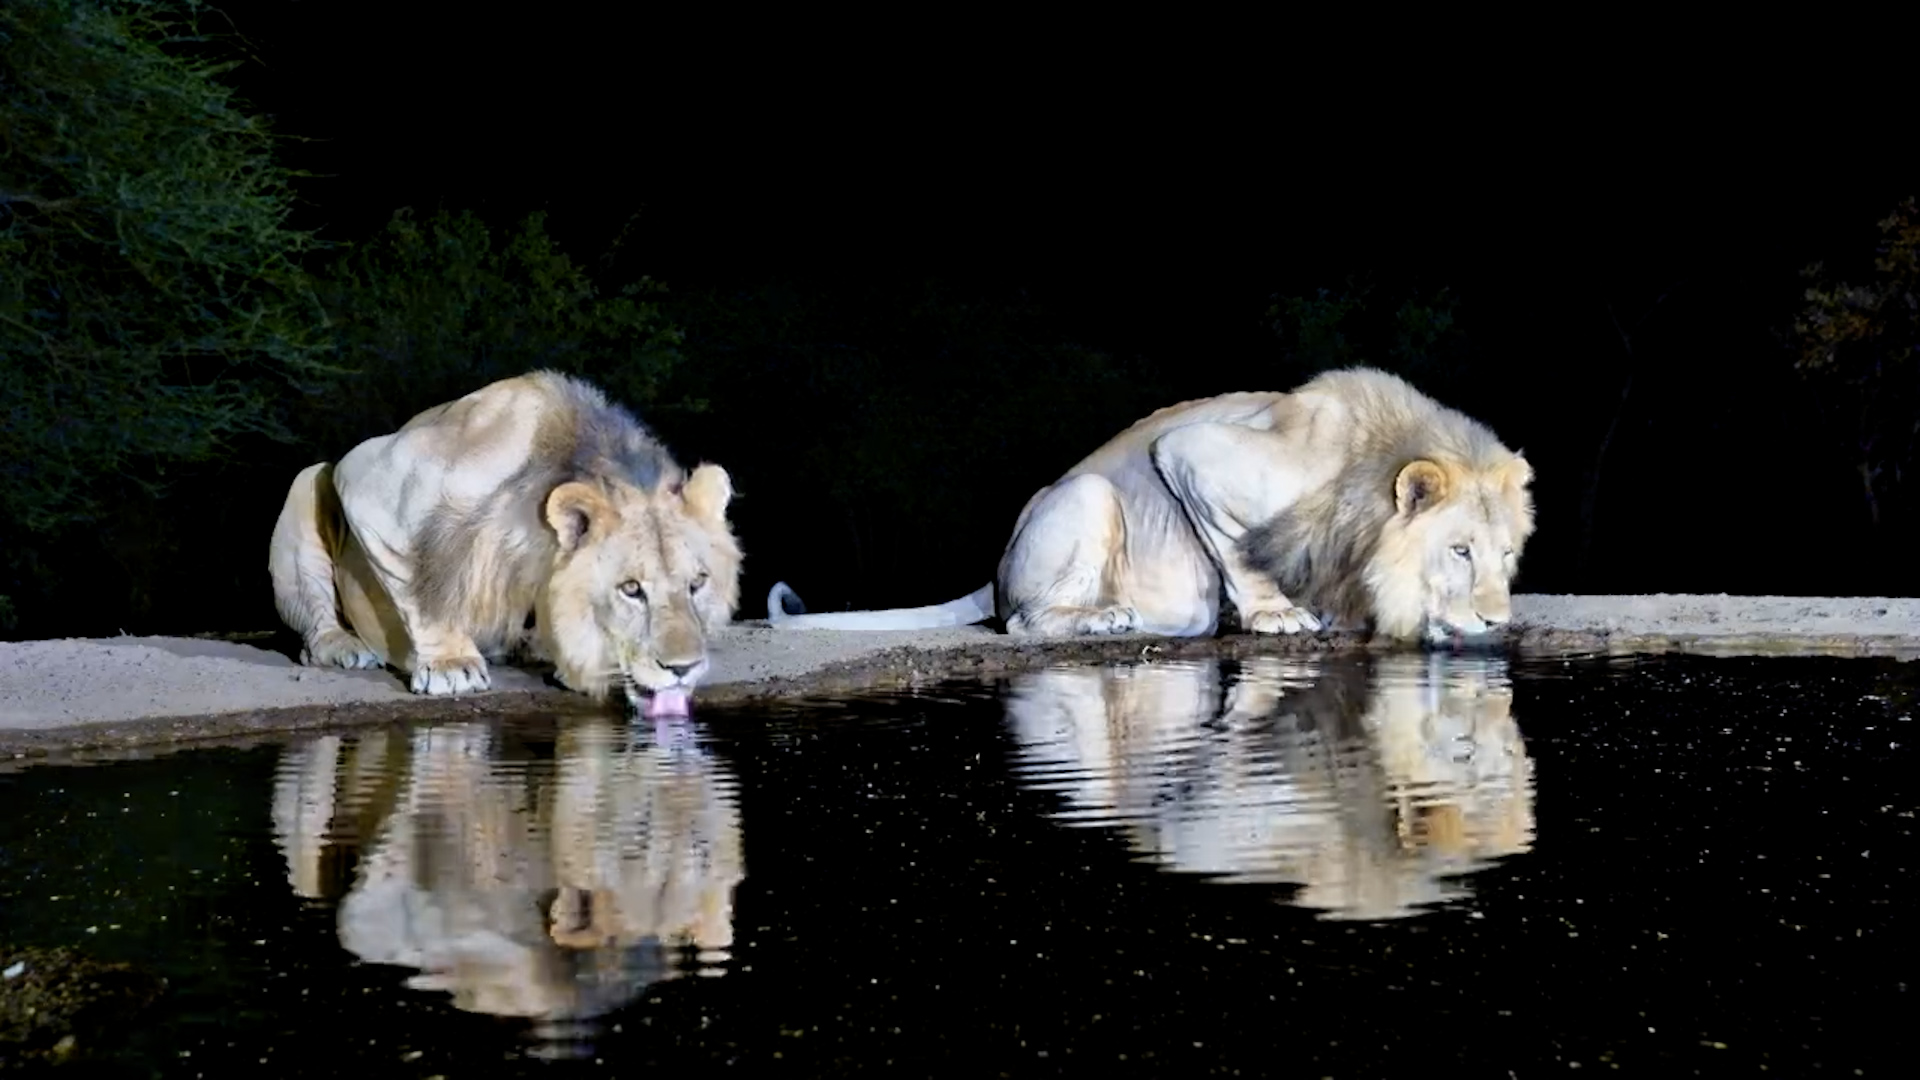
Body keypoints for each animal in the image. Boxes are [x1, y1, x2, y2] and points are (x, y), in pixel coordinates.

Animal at [267, 370, 742, 715]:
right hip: (309, 481)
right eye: (631, 589)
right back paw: (342, 647)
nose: (683, 669)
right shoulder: (367, 479)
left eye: (697, 584)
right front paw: (451, 665)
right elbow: (423, 588)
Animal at [767, 366, 1533, 645]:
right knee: (1020, 622)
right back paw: (1107, 617)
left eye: (1505, 556)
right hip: (1088, 496)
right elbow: (1239, 551)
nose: (1499, 622)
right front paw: (1276, 615)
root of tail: (1000, 554)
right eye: (1458, 550)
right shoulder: (1192, 452)